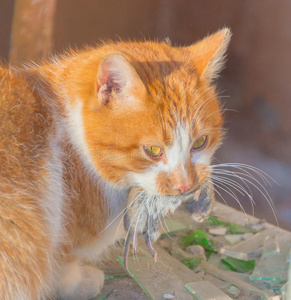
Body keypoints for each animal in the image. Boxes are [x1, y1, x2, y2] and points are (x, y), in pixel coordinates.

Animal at [0, 27, 232, 298]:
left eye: (200, 142)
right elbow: (61, 267)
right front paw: (80, 283)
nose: (185, 185)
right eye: (153, 150)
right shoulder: (55, 233)